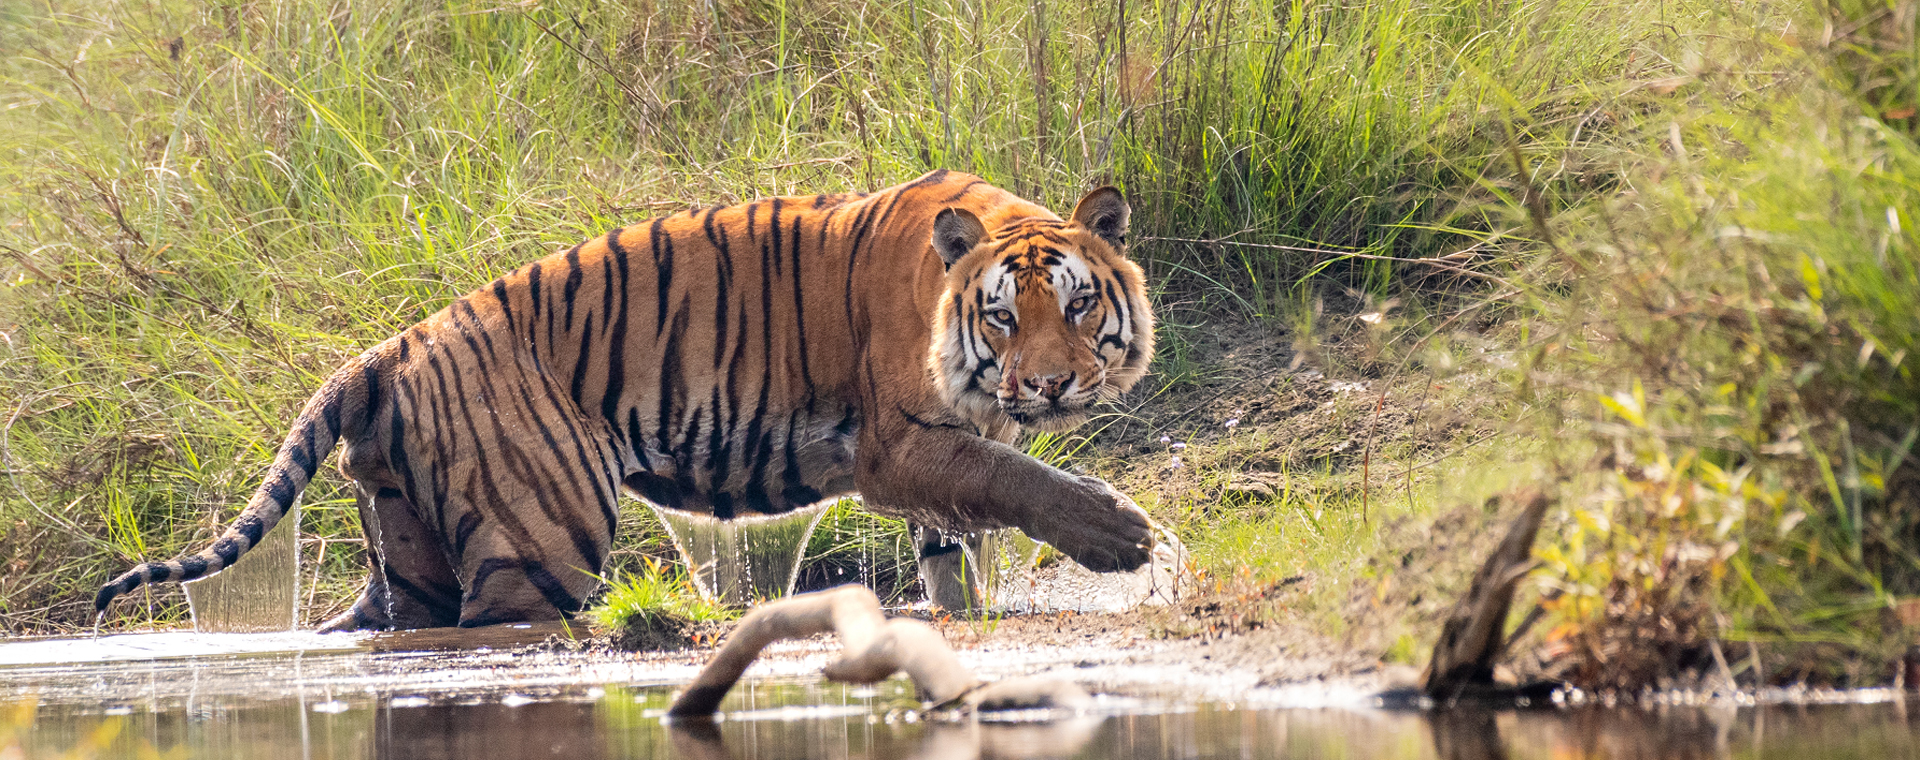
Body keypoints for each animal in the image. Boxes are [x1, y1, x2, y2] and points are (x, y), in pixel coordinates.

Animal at [93, 170, 1157, 631]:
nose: (1047, 382)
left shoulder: (940, 455)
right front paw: (1125, 539)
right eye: (1004, 317)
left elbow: (959, 541)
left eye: (1075, 303)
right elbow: (1015, 481)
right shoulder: (900, 446)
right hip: (541, 538)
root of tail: (388, 350)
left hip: (408, 549)